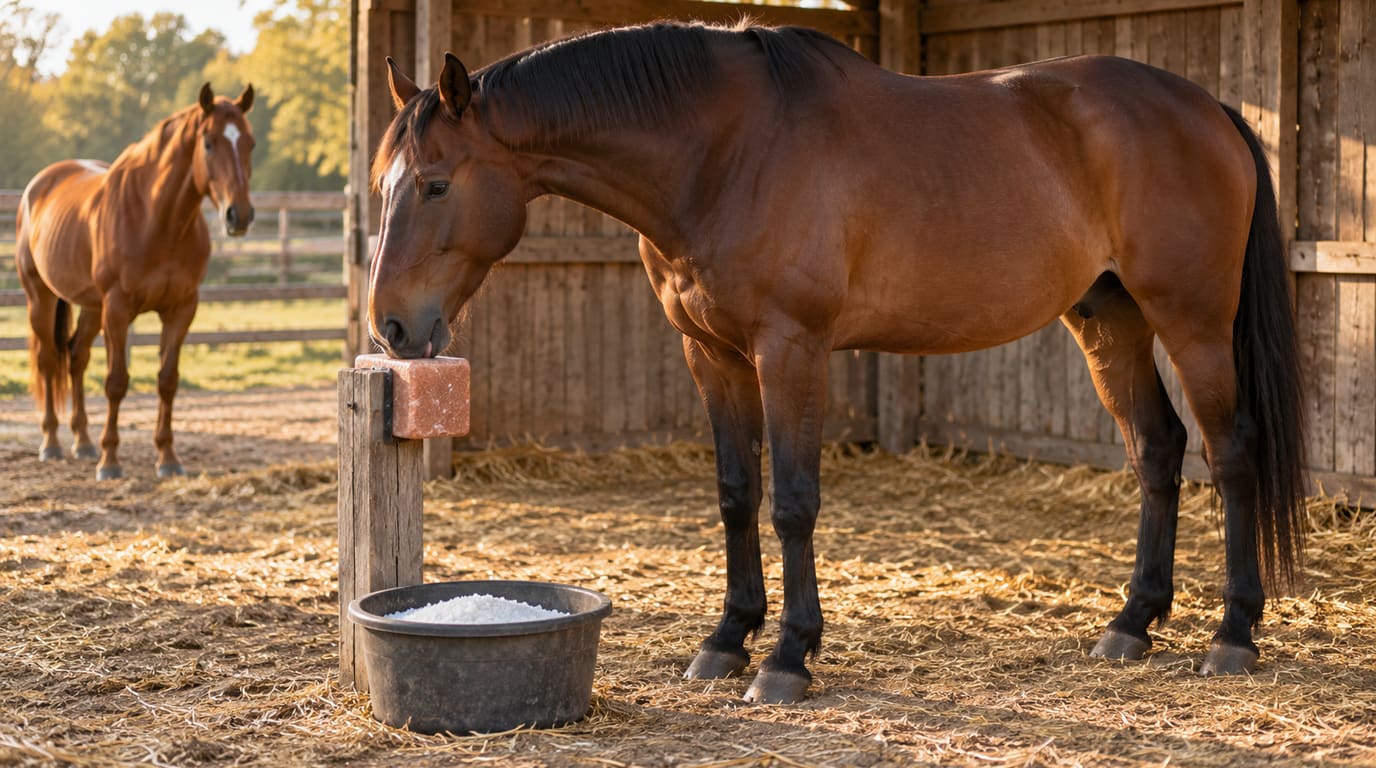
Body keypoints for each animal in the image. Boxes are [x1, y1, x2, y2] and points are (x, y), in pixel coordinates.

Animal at [17, 83, 256, 480]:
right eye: (208, 143)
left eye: (249, 143)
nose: (239, 215)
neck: (156, 220)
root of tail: (38, 186)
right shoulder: (117, 308)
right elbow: (116, 382)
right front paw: (110, 461)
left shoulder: (181, 309)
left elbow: (167, 380)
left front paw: (168, 458)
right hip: (42, 296)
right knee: (49, 360)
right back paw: (51, 443)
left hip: (90, 306)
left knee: (76, 357)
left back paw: (82, 442)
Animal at [367, 22, 1308, 703]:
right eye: (385, 184)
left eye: (437, 184)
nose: (392, 327)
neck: (723, 152)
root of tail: (1210, 109)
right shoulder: (711, 355)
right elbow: (736, 495)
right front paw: (726, 639)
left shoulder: (791, 349)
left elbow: (793, 503)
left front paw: (788, 655)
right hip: (1110, 320)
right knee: (1158, 451)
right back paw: (1132, 624)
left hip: (1191, 321)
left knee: (1230, 454)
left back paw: (1233, 634)